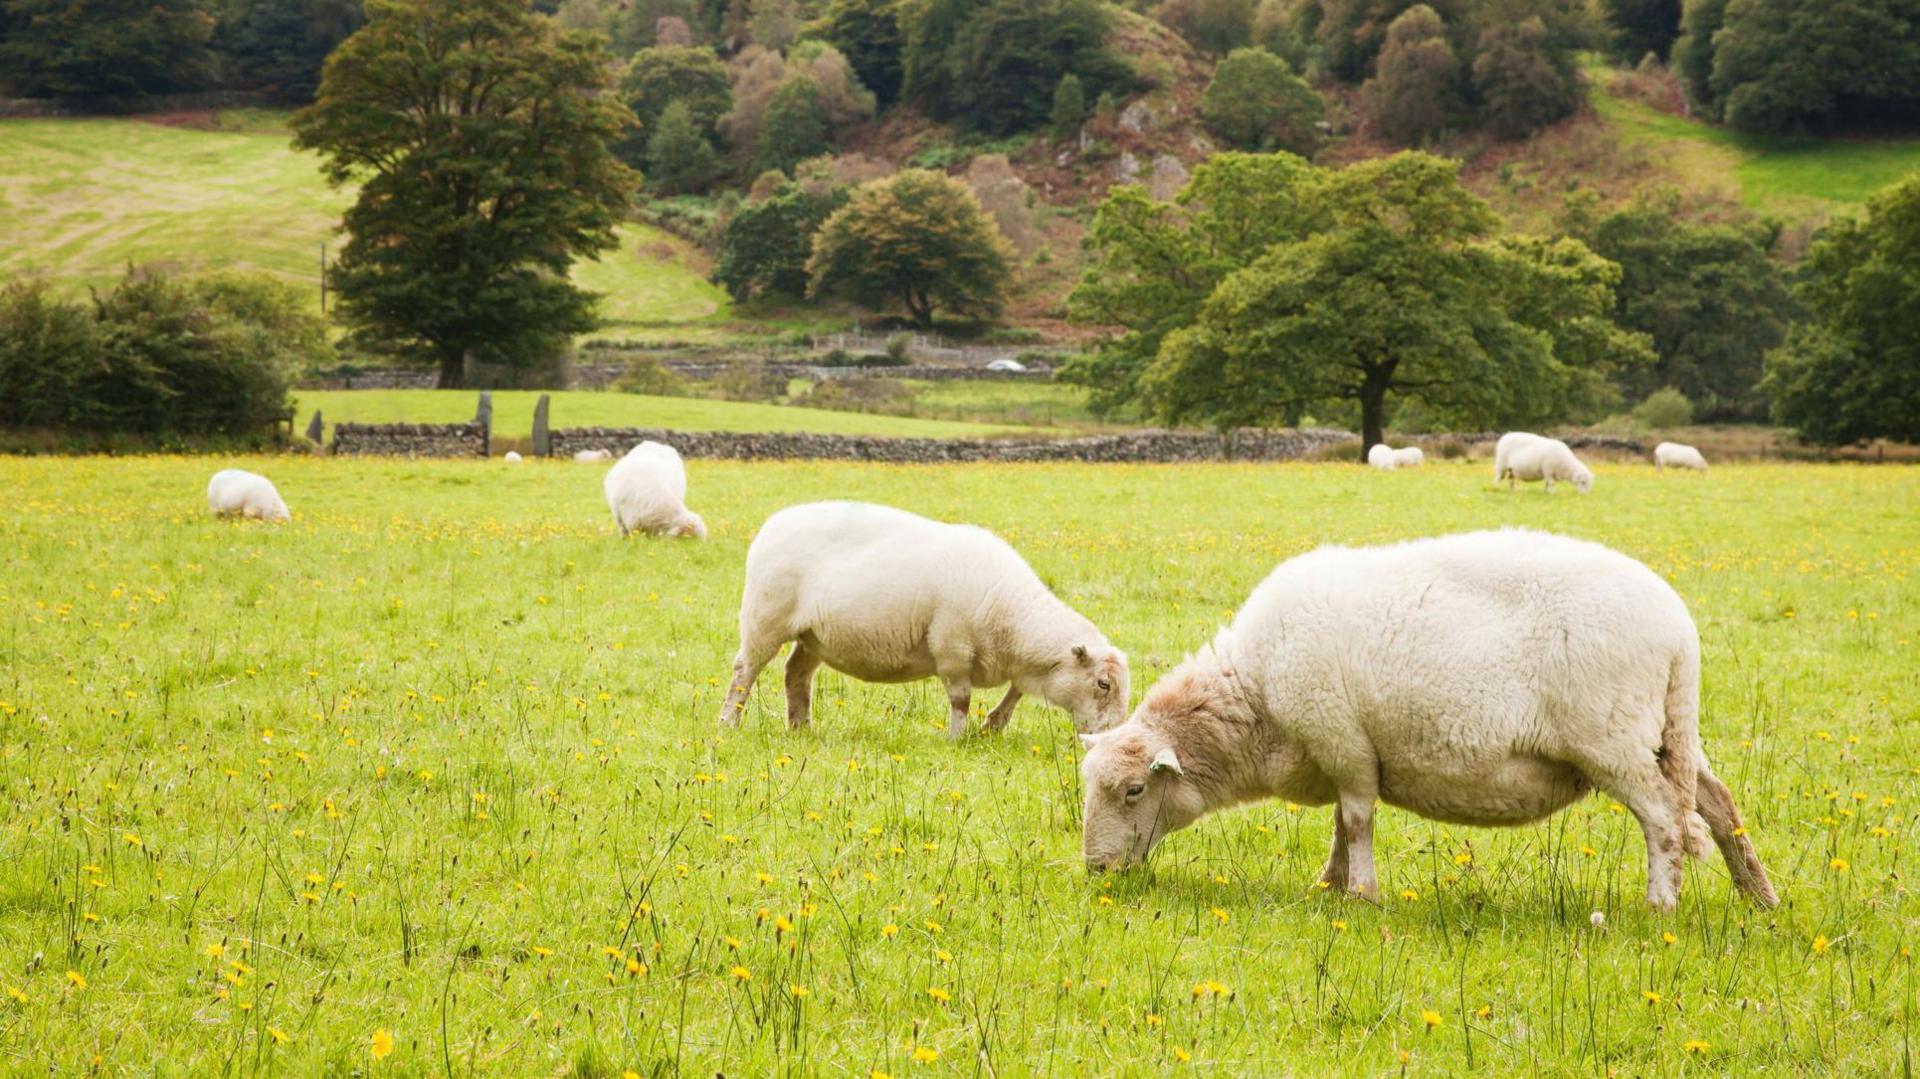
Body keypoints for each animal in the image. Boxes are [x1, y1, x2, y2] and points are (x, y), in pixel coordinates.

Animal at [725, 499, 1128, 733]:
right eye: (1103, 684)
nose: (1112, 736)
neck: (1013, 616)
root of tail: (774, 523)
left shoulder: (1018, 664)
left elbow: (1015, 692)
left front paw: (993, 725)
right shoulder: (953, 648)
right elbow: (961, 699)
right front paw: (958, 738)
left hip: (814, 635)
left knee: (795, 674)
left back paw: (801, 728)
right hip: (765, 618)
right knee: (745, 670)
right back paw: (730, 722)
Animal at [1075, 529, 1774, 906]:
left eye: (1134, 790)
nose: (1097, 872)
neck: (1255, 694)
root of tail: (1679, 630)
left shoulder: (1343, 738)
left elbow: (1357, 820)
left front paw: (1361, 895)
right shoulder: (1343, 753)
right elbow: (1341, 822)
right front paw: (1329, 886)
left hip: (1614, 741)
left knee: (1663, 820)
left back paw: (1662, 907)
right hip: (1669, 732)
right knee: (1717, 807)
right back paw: (1757, 899)